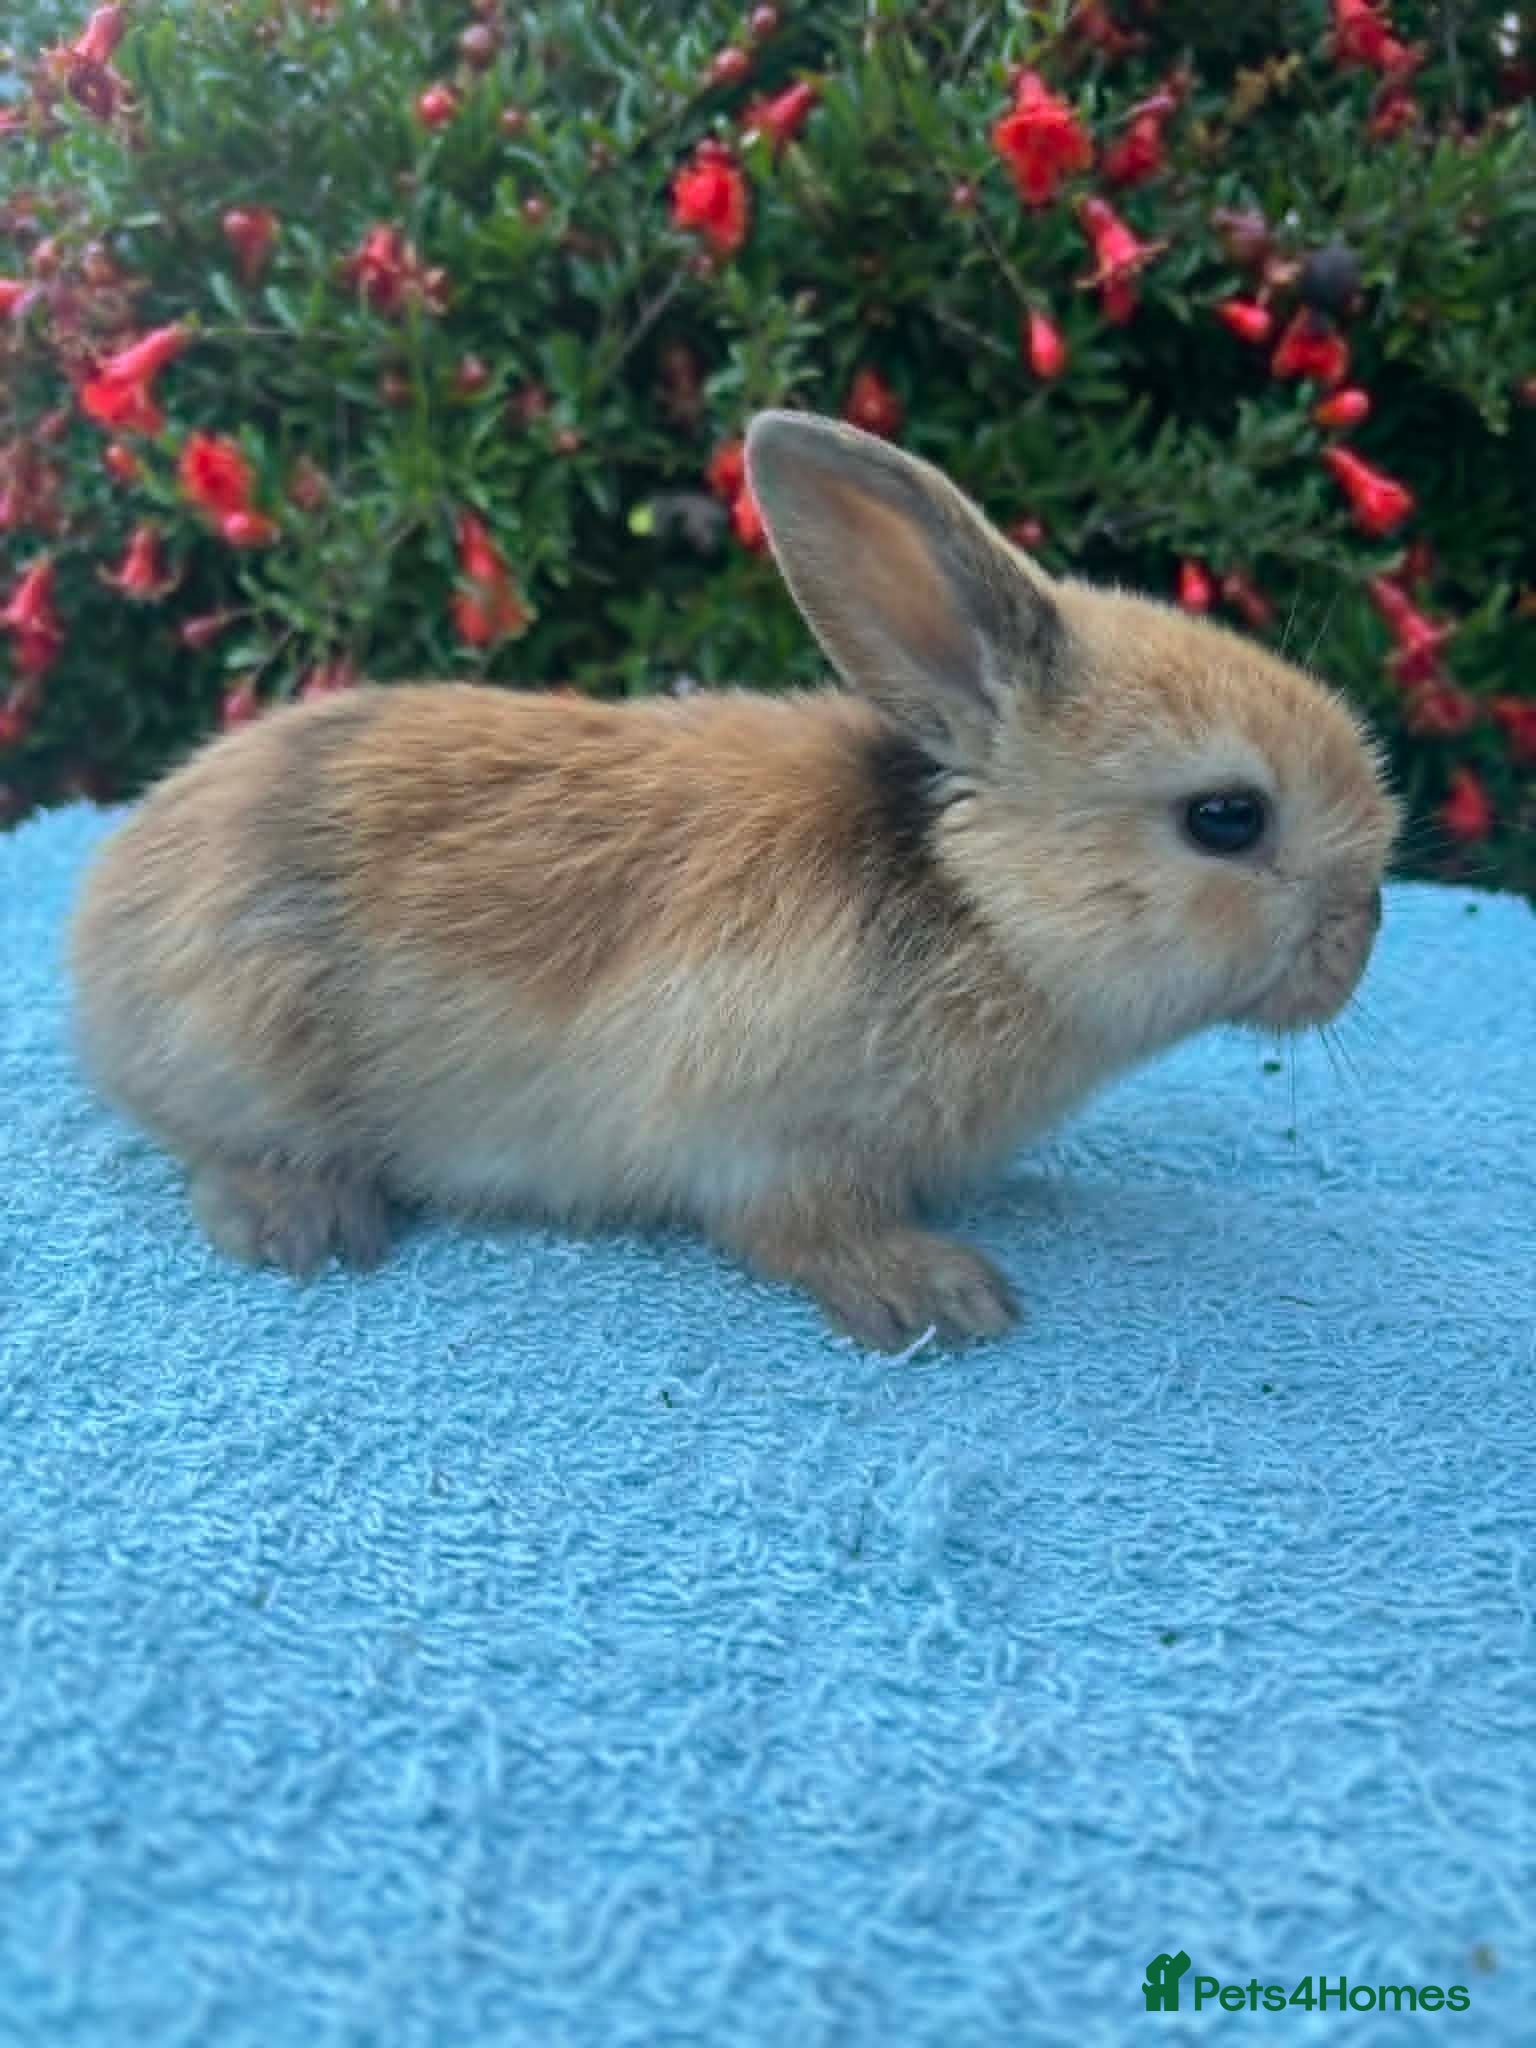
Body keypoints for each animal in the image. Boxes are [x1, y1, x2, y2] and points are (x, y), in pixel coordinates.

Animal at [70, 410, 1399, 1351]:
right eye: (1226, 818)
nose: (1365, 930)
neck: (979, 902)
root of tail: (98, 930)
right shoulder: (765, 1132)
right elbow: (797, 1225)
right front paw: (940, 1297)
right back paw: (305, 1224)